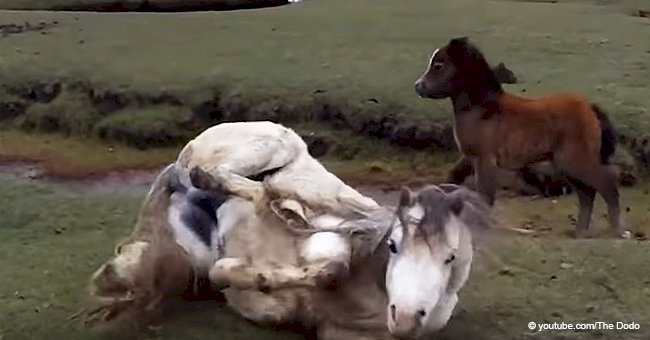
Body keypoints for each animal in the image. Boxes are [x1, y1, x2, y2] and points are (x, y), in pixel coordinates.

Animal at [83, 121, 494, 338]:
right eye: (393, 245)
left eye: (450, 258)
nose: (406, 317)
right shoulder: (331, 235)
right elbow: (331, 262)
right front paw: (240, 267)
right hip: (272, 147)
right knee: (214, 175)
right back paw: (281, 205)